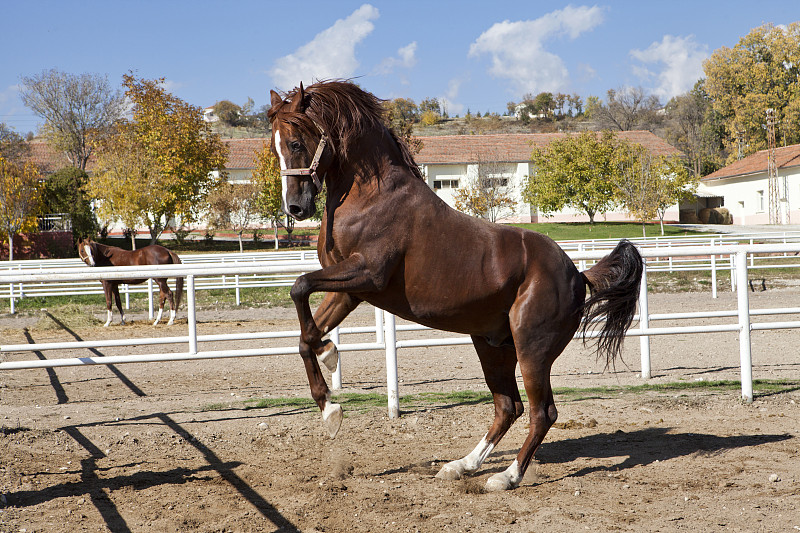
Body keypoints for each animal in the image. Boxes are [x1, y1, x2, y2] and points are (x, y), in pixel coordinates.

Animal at [268, 80, 644, 490]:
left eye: (296, 143)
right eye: (274, 146)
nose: (295, 209)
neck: (371, 198)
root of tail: (578, 275)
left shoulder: (367, 273)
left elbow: (300, 288)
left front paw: (329, 362)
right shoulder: (352, 290)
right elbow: (303, 330)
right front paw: (330, 404)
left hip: (532, 348)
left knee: (542, 412)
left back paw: (506, 477)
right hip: (493, 346)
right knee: (508, 407)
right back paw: (461, 466)